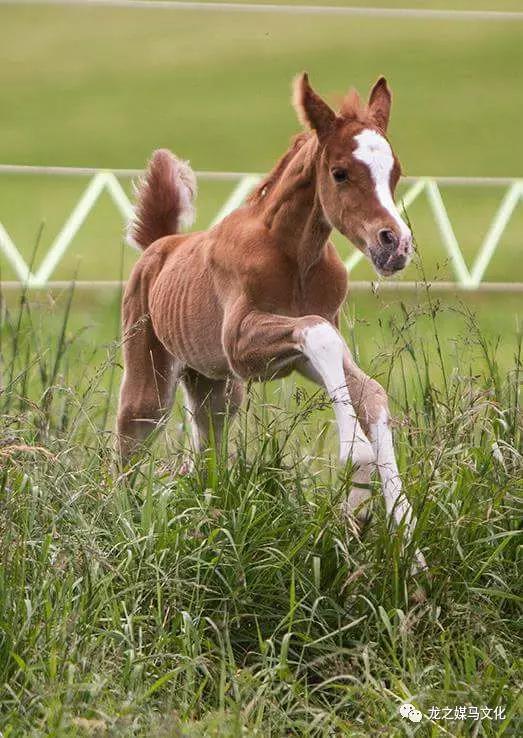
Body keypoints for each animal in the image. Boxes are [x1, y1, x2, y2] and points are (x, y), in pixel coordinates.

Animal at [116, 73, 428, 568]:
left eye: (394, 172)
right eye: (340, 172)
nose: (395, 244)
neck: (294, 255)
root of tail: (160, 245)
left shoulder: (296, 356)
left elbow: (371, 392)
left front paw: (403, 543)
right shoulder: (242, 346)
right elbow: (317, 333)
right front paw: (354, 456)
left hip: (216, 388)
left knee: (207, 449)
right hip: (151, 385)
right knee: (127, 450)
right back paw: (126, 528)